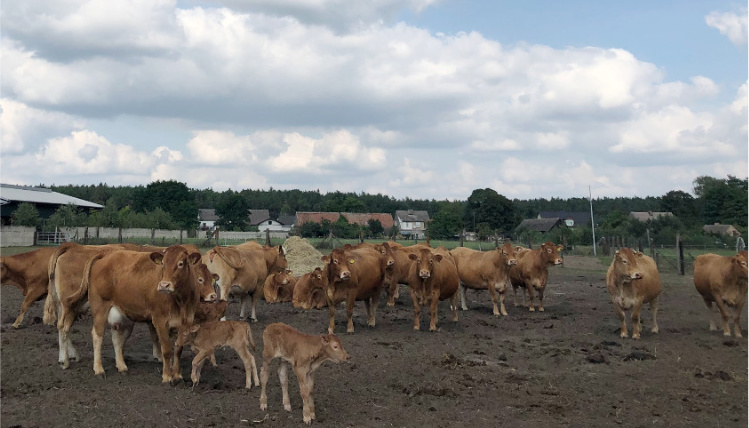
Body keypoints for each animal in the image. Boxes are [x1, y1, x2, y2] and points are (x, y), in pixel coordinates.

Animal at [85, 246, 203, 382]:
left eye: (180, 264)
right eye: (163, 263)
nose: (164, 285)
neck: (181, 301)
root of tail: (106, 254)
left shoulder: (186, 322)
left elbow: (178, 349)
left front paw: (177, 375)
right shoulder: (160, 320)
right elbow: (166, 350)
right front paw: (167, 376)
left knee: (117, 337)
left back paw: (121, 366)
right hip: (100, 309)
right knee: (97, 336)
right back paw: (99, 369)